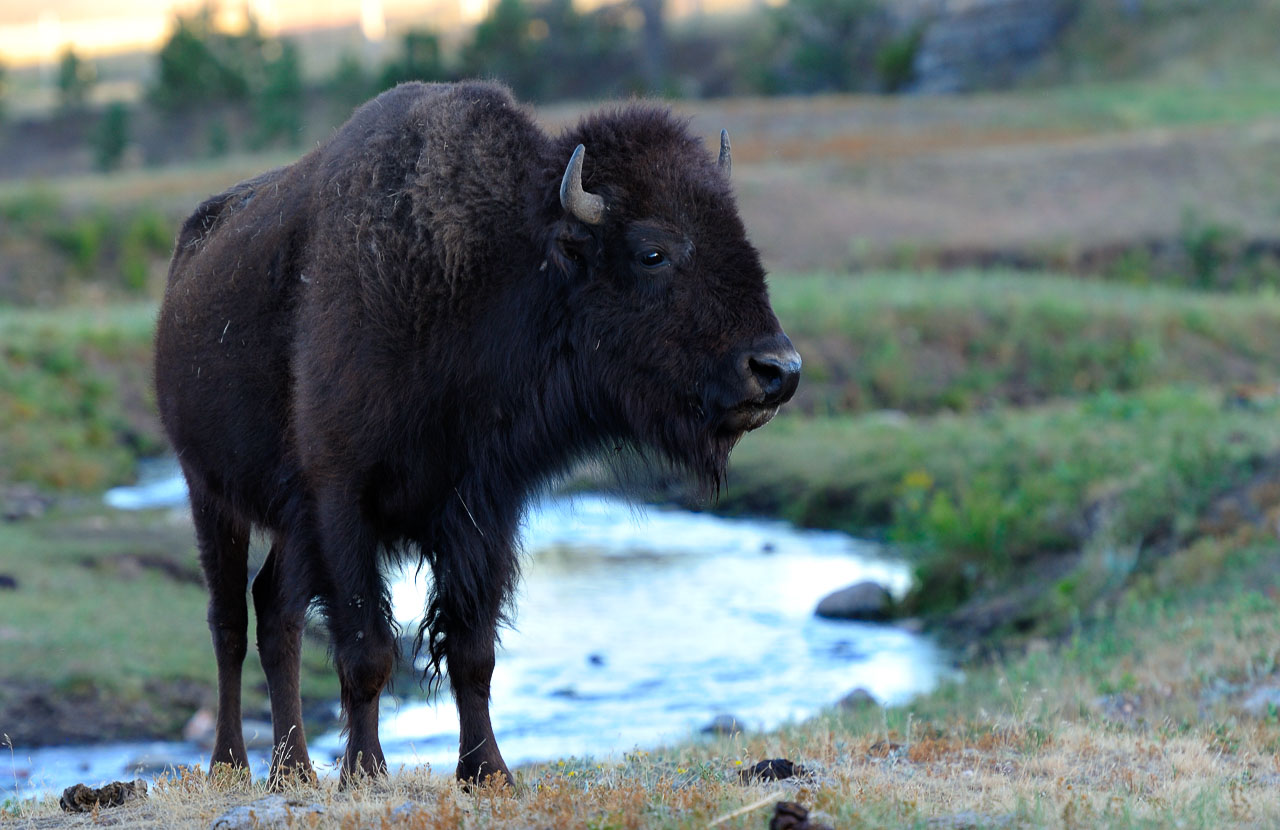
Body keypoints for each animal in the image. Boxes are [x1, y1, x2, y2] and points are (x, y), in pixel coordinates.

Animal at [154, 81, 800, 786]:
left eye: (735, 231)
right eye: (652, 251)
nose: (778, 370)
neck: (483, 275)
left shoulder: (482, 507)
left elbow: (473, 651)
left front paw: (488, 772)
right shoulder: (341, 501)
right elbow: (368, 651)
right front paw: (365, 772)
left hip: (289, 527)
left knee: (276, 613)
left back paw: (292, 770)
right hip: (210, 495)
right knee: (229, 622)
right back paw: (231, 765)